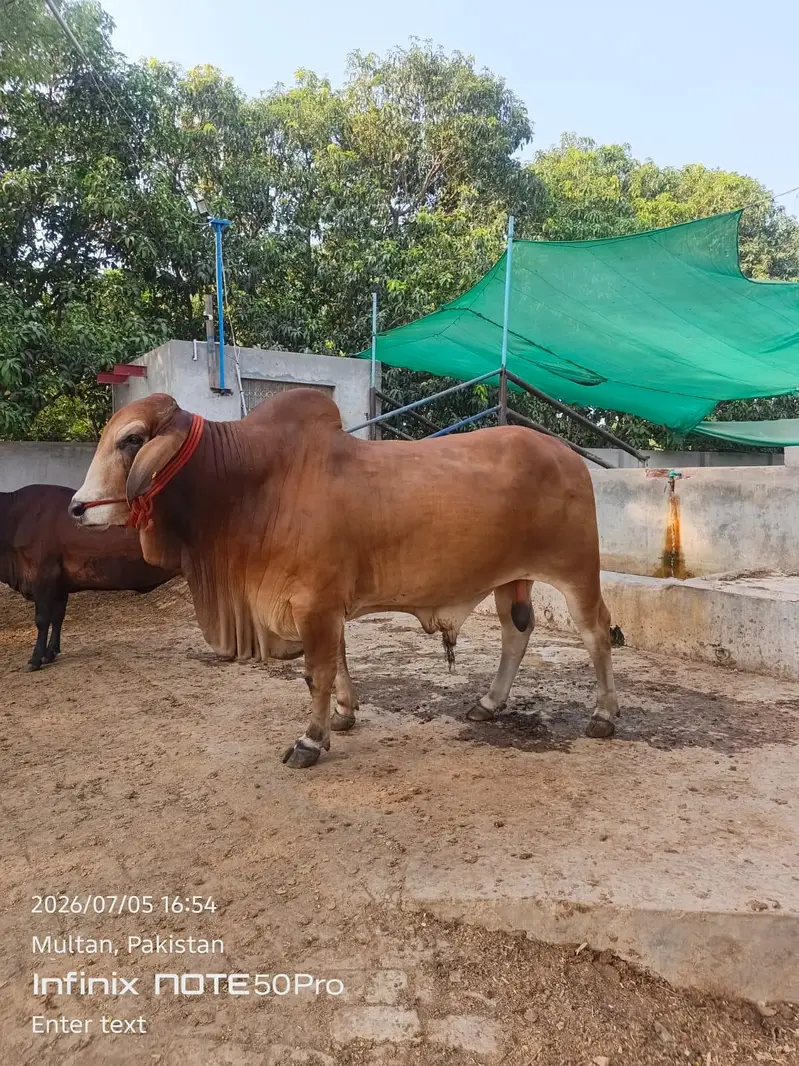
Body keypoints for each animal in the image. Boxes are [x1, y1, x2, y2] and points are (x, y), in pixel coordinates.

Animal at [0, 484, 175, 670]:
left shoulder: (42, 576)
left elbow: (42, 620)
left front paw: (35, 659)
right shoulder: (59, 585)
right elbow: (57, 616)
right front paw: (50, 652)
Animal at [69, 389, 619, 768]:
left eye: (132, 440)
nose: (77, 508)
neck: (251, 485)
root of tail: (568, 455)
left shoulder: (315, 603)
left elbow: (317, 671)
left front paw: (310, 741)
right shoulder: (322, 606)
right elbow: (339, 663)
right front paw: (343, 716)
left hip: (577, 572)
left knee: (596, 633)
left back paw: (604, 716)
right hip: (512, 579)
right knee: (516, 632)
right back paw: (489, 702)